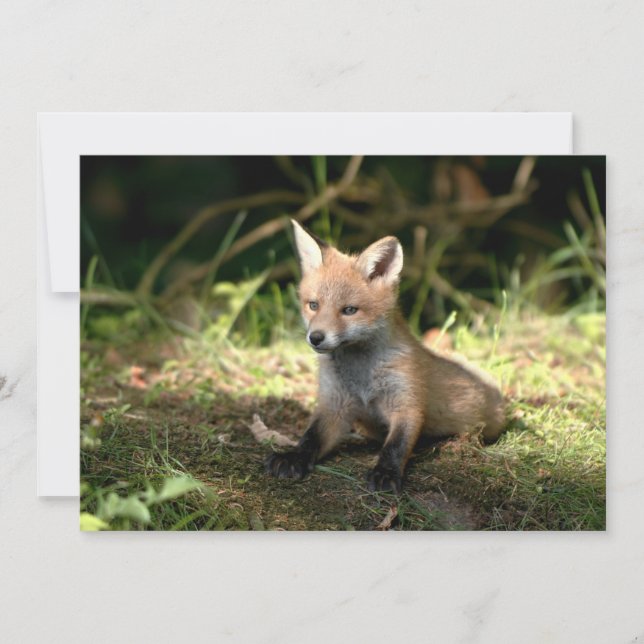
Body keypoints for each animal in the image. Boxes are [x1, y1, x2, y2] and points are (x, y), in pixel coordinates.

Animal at [265, 220, 505, 493]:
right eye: (313, 305)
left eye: (349, 310)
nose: (315, 337)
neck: (362, 375)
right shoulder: (334, 404)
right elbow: (311, 437)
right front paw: (293, 456)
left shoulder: (406, 403)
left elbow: (395, 445)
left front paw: (386, 473)